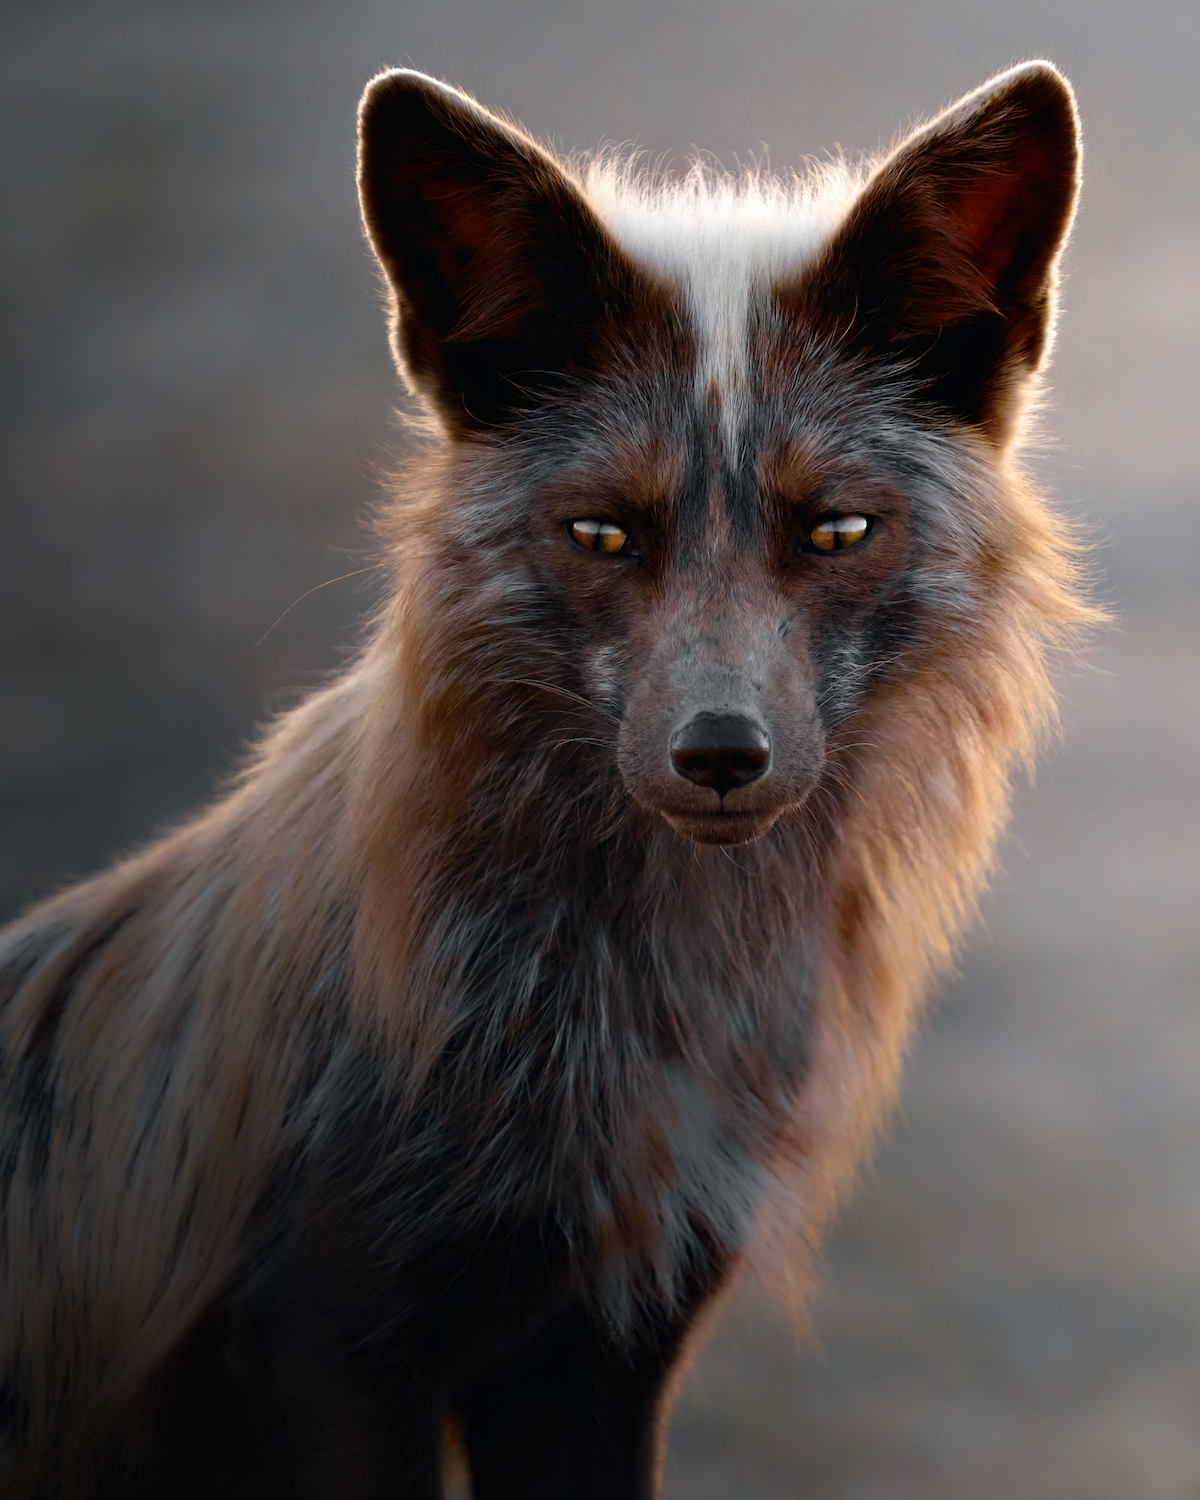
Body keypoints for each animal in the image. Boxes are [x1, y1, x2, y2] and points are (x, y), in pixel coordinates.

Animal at [0, 61, 1086, 1500]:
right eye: (602, 534)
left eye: (838, 530)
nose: (720, 755)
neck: (608, 1037)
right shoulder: (330, 1339)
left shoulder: (601, 1344)